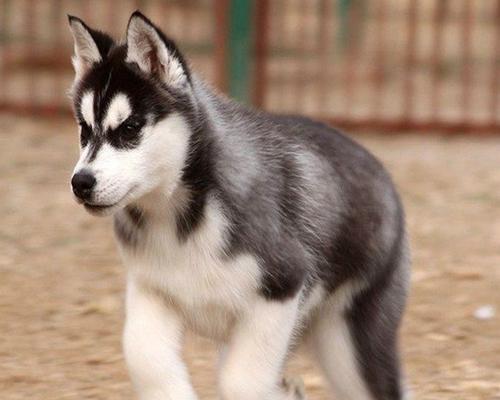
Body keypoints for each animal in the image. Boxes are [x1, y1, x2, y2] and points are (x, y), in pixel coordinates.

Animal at [67, 11, 410, 400]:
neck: (181, 219)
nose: (80, 183)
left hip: (350, 343)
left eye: (130, 128)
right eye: (84, 129)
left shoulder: (281, 289)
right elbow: (145, 361)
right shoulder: (152, 291)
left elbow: (241, 382)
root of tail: (379, 170)